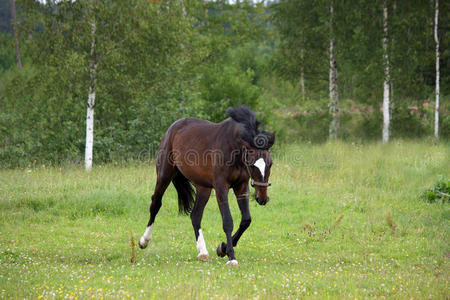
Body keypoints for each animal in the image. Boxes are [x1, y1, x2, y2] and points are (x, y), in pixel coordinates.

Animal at [138, 106, 274, 266]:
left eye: (270, 164)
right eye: (253, 165)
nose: (262, 198)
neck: (234, 147)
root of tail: (173, 128)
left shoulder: (241, 187)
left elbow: (246, 220)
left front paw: (222, 248)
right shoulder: (221, 187)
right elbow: (228, 221)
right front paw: (231, 257)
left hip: (203, 187)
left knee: (195, 215)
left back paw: (202, 252)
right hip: (164, 175)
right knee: (156, 204)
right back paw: (144, 241)